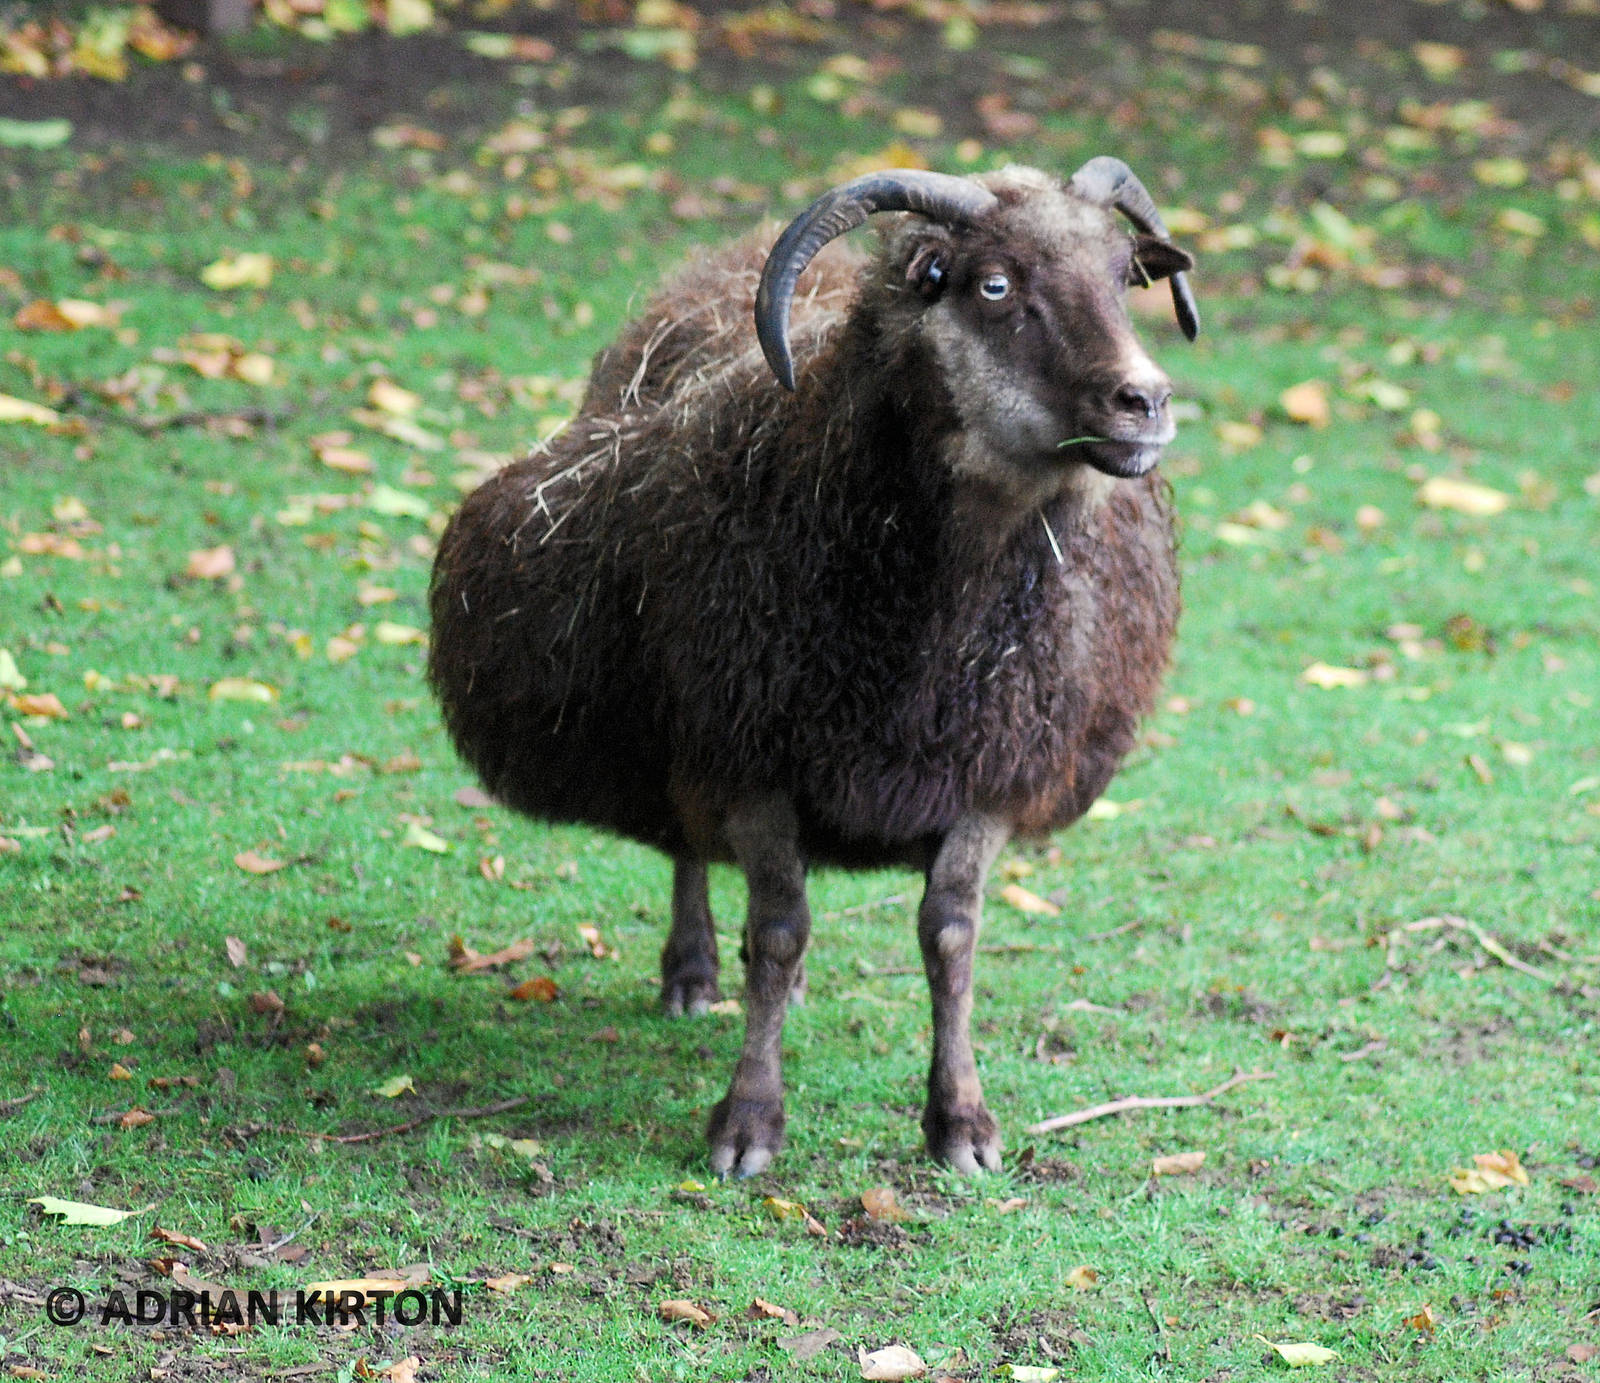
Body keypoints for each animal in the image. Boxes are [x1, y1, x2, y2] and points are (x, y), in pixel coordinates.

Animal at [428, 158, 1199, 1176]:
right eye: (992, 285)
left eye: (1123, 276)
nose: (1146, 402)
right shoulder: (749, 751)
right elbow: (780, 927)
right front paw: (748, 1122)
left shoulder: (992, 767)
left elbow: (950, 933)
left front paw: (961, 1122)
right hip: (684, 710)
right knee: (689, 844)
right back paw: (694, 971)